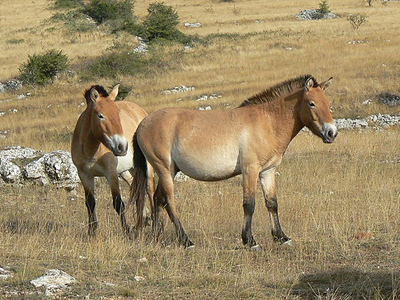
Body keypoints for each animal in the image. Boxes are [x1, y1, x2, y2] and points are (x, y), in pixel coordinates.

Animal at [71, 84, 154, 237]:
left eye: (118, 114)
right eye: (100, 115)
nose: (122, 147)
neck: (91, 151)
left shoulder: (111, 174)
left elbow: (118, 203)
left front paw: (127, 231)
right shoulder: (84, 175)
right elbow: (90, 203)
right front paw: (92, 232)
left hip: (146, 167)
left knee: (149, 190)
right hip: (127, 171)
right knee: (136, 188)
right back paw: (143, 220)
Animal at [130, 75, 338, 248]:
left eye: (328, 103)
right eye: (311, 103)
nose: (331, 133)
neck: (267, 122)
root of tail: (143, 123)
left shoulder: (268, 171)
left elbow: (272, 203)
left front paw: (281, 237)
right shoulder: (250, 170)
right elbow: (249, 204)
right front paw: (250, 241)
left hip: (170, 170)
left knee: (157, 198)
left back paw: (157, 236)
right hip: (164, 168)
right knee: (169, 201)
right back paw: (186, 240)